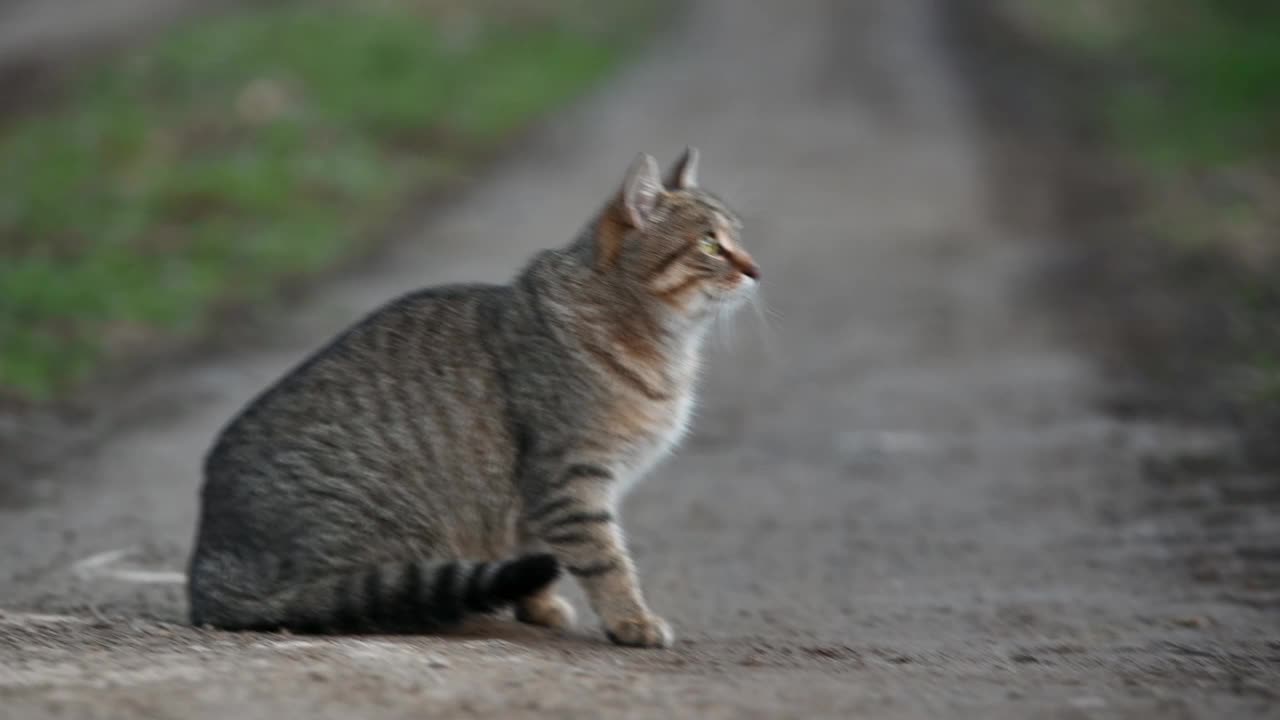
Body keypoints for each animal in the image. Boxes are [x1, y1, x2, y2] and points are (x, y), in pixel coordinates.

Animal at [189, 147, 757, 645]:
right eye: (710, 244)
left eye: (736, 238)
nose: (755, 270)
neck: (662, 342)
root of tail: (206, 571)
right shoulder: (570, 476)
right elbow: (606, 560)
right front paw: (631, 620)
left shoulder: (543, 497)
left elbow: (543, 553)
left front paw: (539, 605)